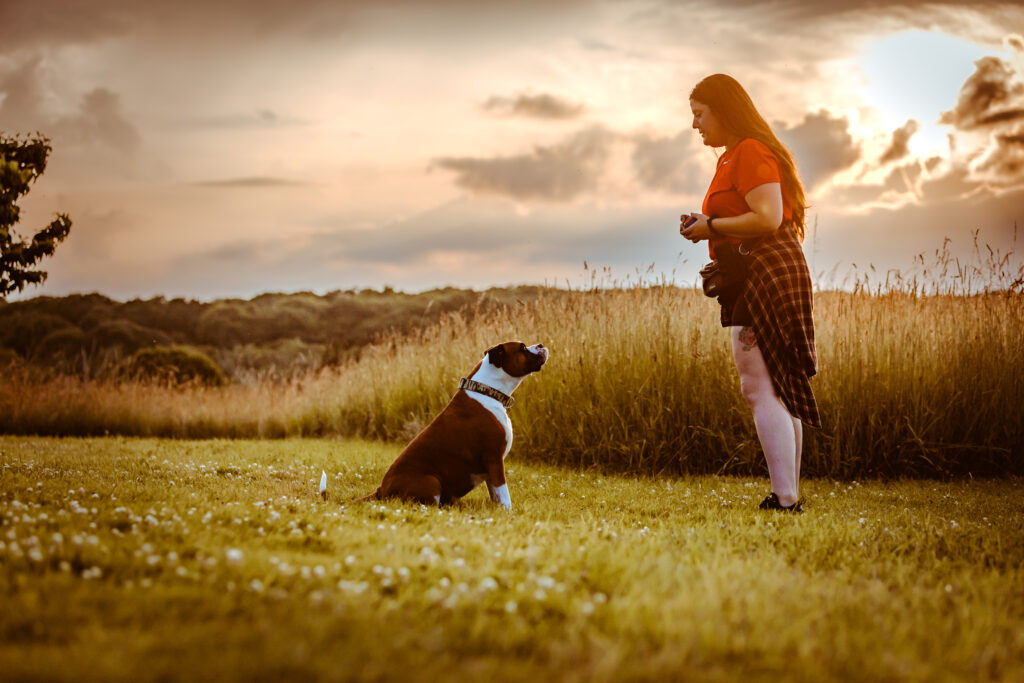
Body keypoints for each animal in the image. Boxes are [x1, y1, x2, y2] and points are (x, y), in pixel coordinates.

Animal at [362, 339, 548, 507]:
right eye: (522, 348)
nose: (541, 345)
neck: (487, 391)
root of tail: (381, 490)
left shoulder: (491, 469)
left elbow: (496, 494)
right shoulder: (494, 459)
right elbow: (504, 493)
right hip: (432, 481)